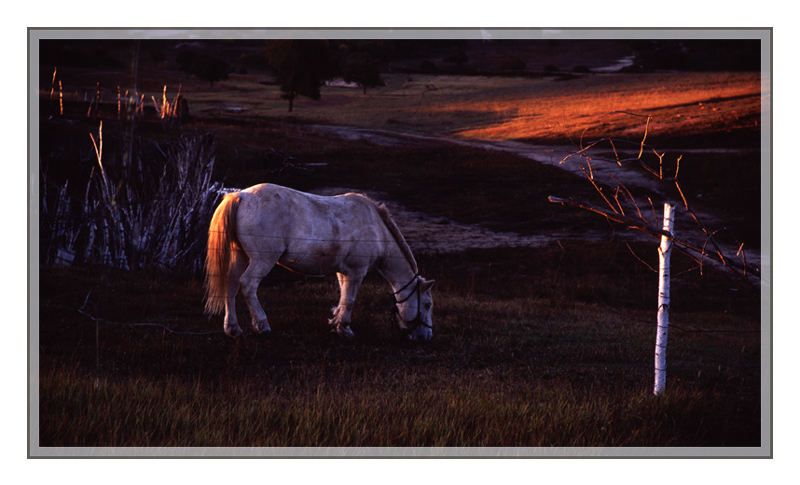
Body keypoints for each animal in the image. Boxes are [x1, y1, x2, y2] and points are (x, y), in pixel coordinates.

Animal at [203, 182, 434, 340]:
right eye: (428, 304)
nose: (426, 337)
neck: (377, 230)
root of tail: (241, 196)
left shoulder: (344, 272)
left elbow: (343, 297)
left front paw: (337, 323)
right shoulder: (357, 272)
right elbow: (349, 300)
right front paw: (345, 329)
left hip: (240, 255)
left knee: (231, 285)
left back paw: (233, 329)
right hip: (262, 259)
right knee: (248, 285)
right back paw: (262, 325)